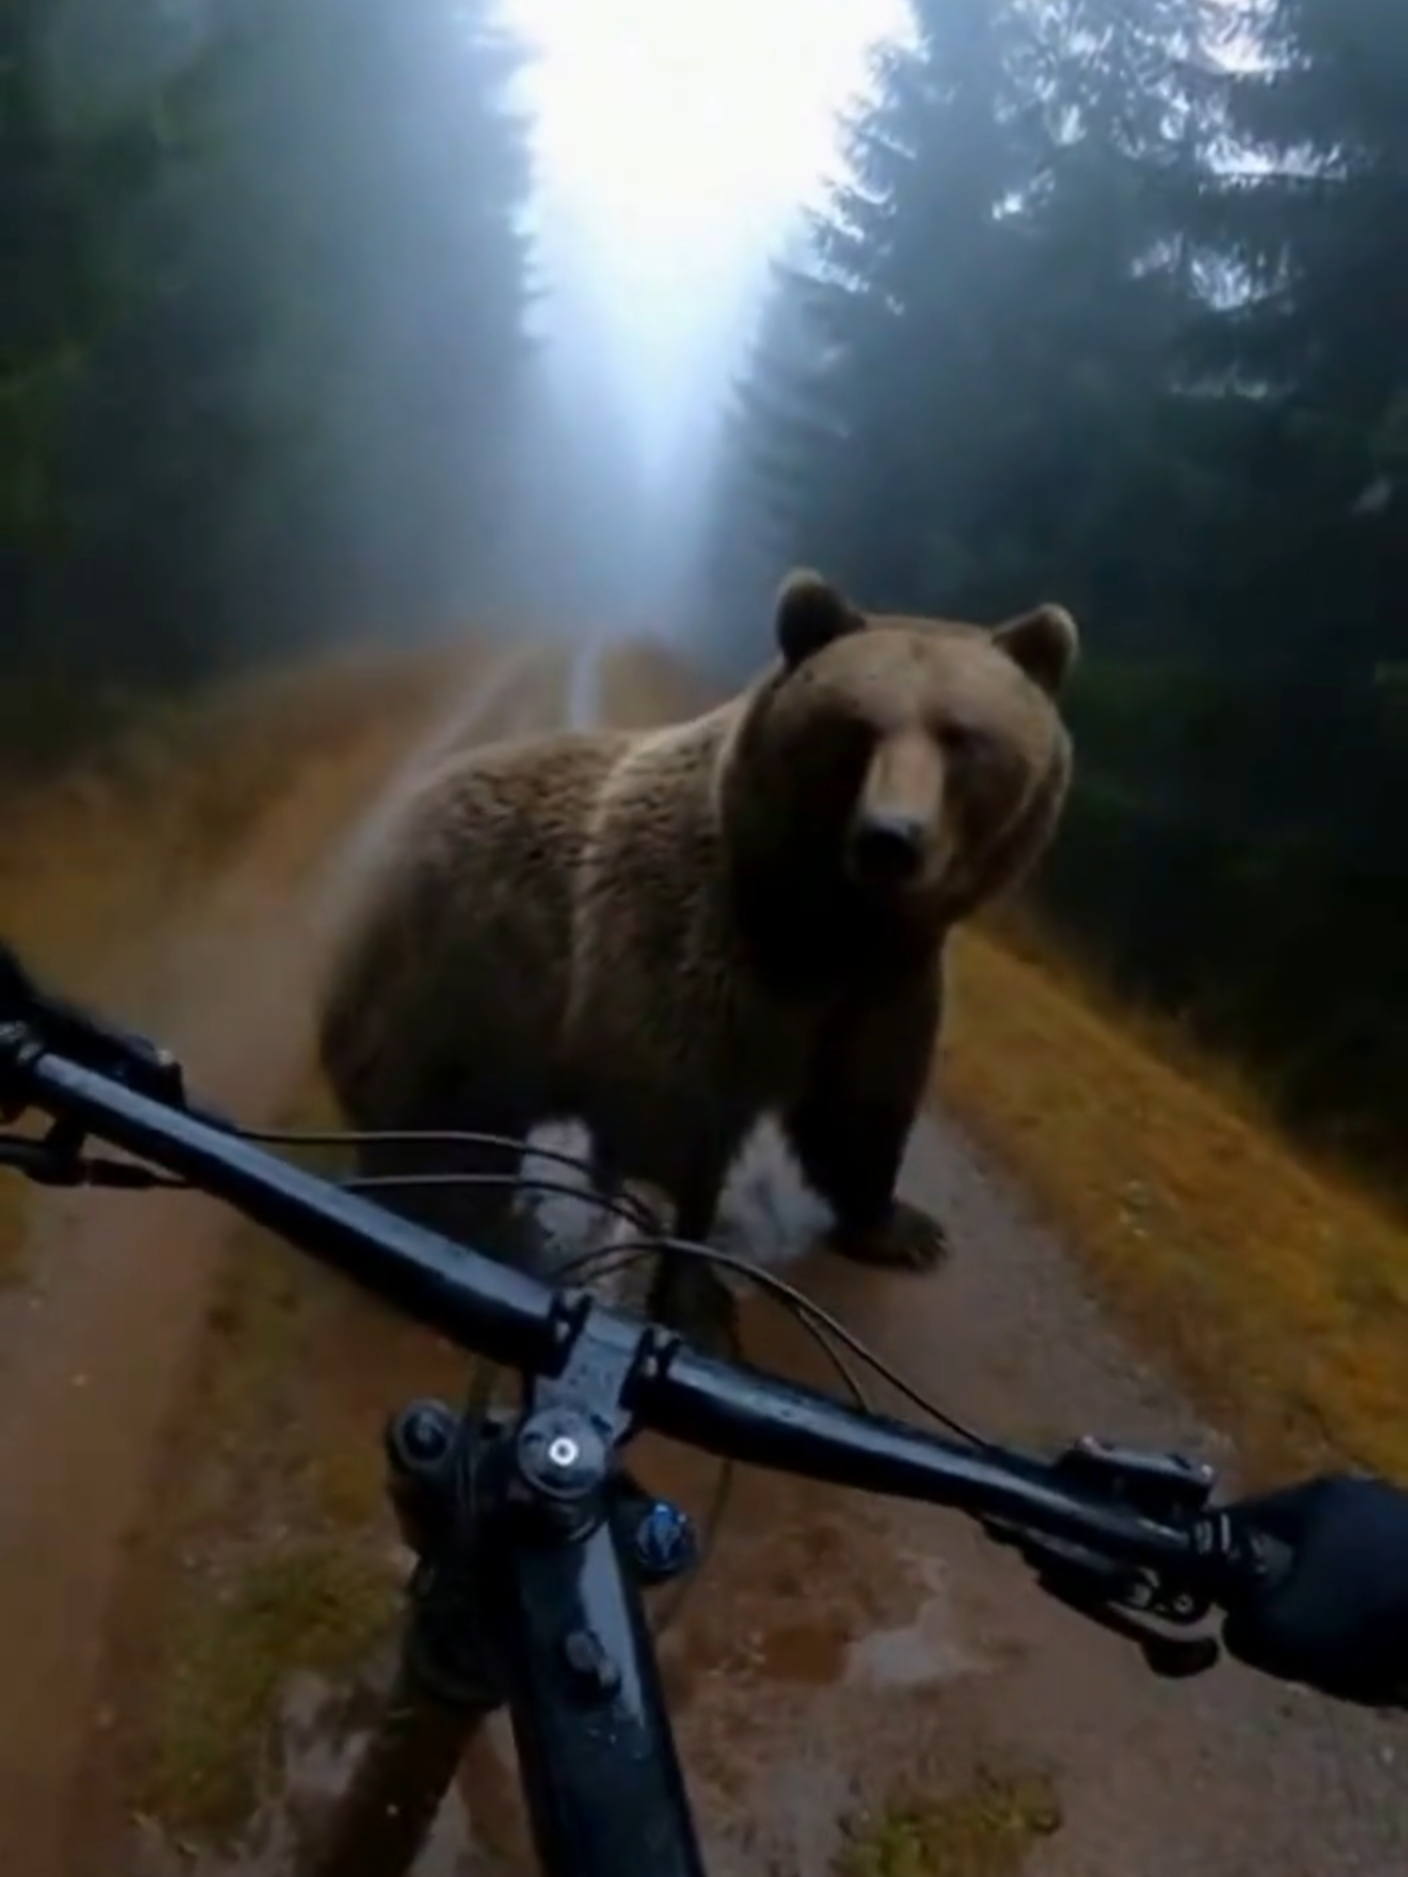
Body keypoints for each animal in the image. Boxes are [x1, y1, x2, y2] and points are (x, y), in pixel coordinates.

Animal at [316, 568, 1078, 1352]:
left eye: (961, 737)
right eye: (859, 727)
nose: (891, 838)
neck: (825, 923)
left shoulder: (884, 980)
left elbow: (863, 1100)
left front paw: (902, 1229)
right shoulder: (685, 944)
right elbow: (675, 1121)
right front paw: (695, 1293)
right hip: (444, 977)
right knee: (432, 1117)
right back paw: (447, 1203)